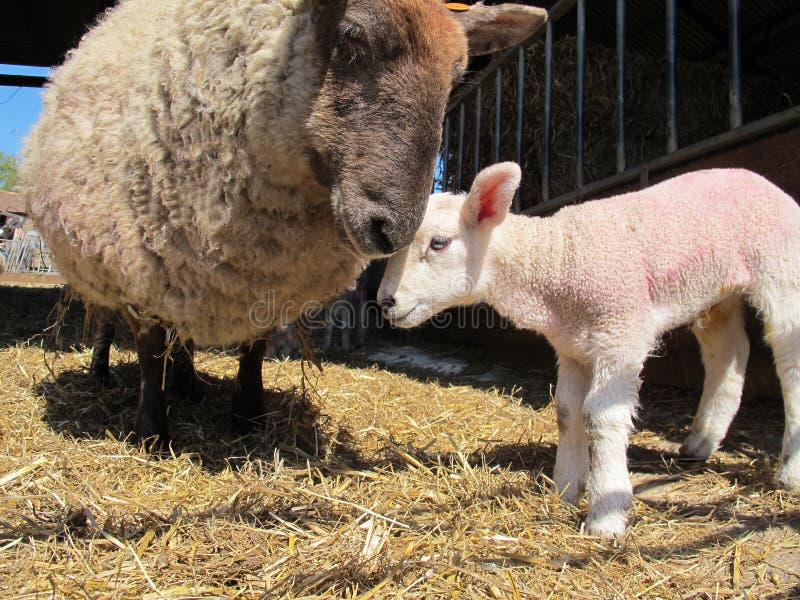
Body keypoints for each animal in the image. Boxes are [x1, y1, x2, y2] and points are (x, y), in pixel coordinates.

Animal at [22, 0, 548, 441]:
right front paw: (152, 430)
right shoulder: (136, 261)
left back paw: (188, 383)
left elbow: (253, 345)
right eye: (352, 35)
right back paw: (102, 372)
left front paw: (248, 414)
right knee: (110, 320)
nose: (391, 230)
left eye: (456, 76)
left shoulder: (262, 267)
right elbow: (150, 350)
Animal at [378, 162, 800, 538]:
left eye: (439, 243)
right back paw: (701, 442)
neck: (557, 260)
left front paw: (606, 514)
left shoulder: (620, 335)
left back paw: (789, 471)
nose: (385, 302)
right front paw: (565, 487)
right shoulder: (572, 347)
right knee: (728, 353)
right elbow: (567, 411)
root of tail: (762, 180)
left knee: (789, 359)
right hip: (715, 295)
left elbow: (602, 417)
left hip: (780, 270)